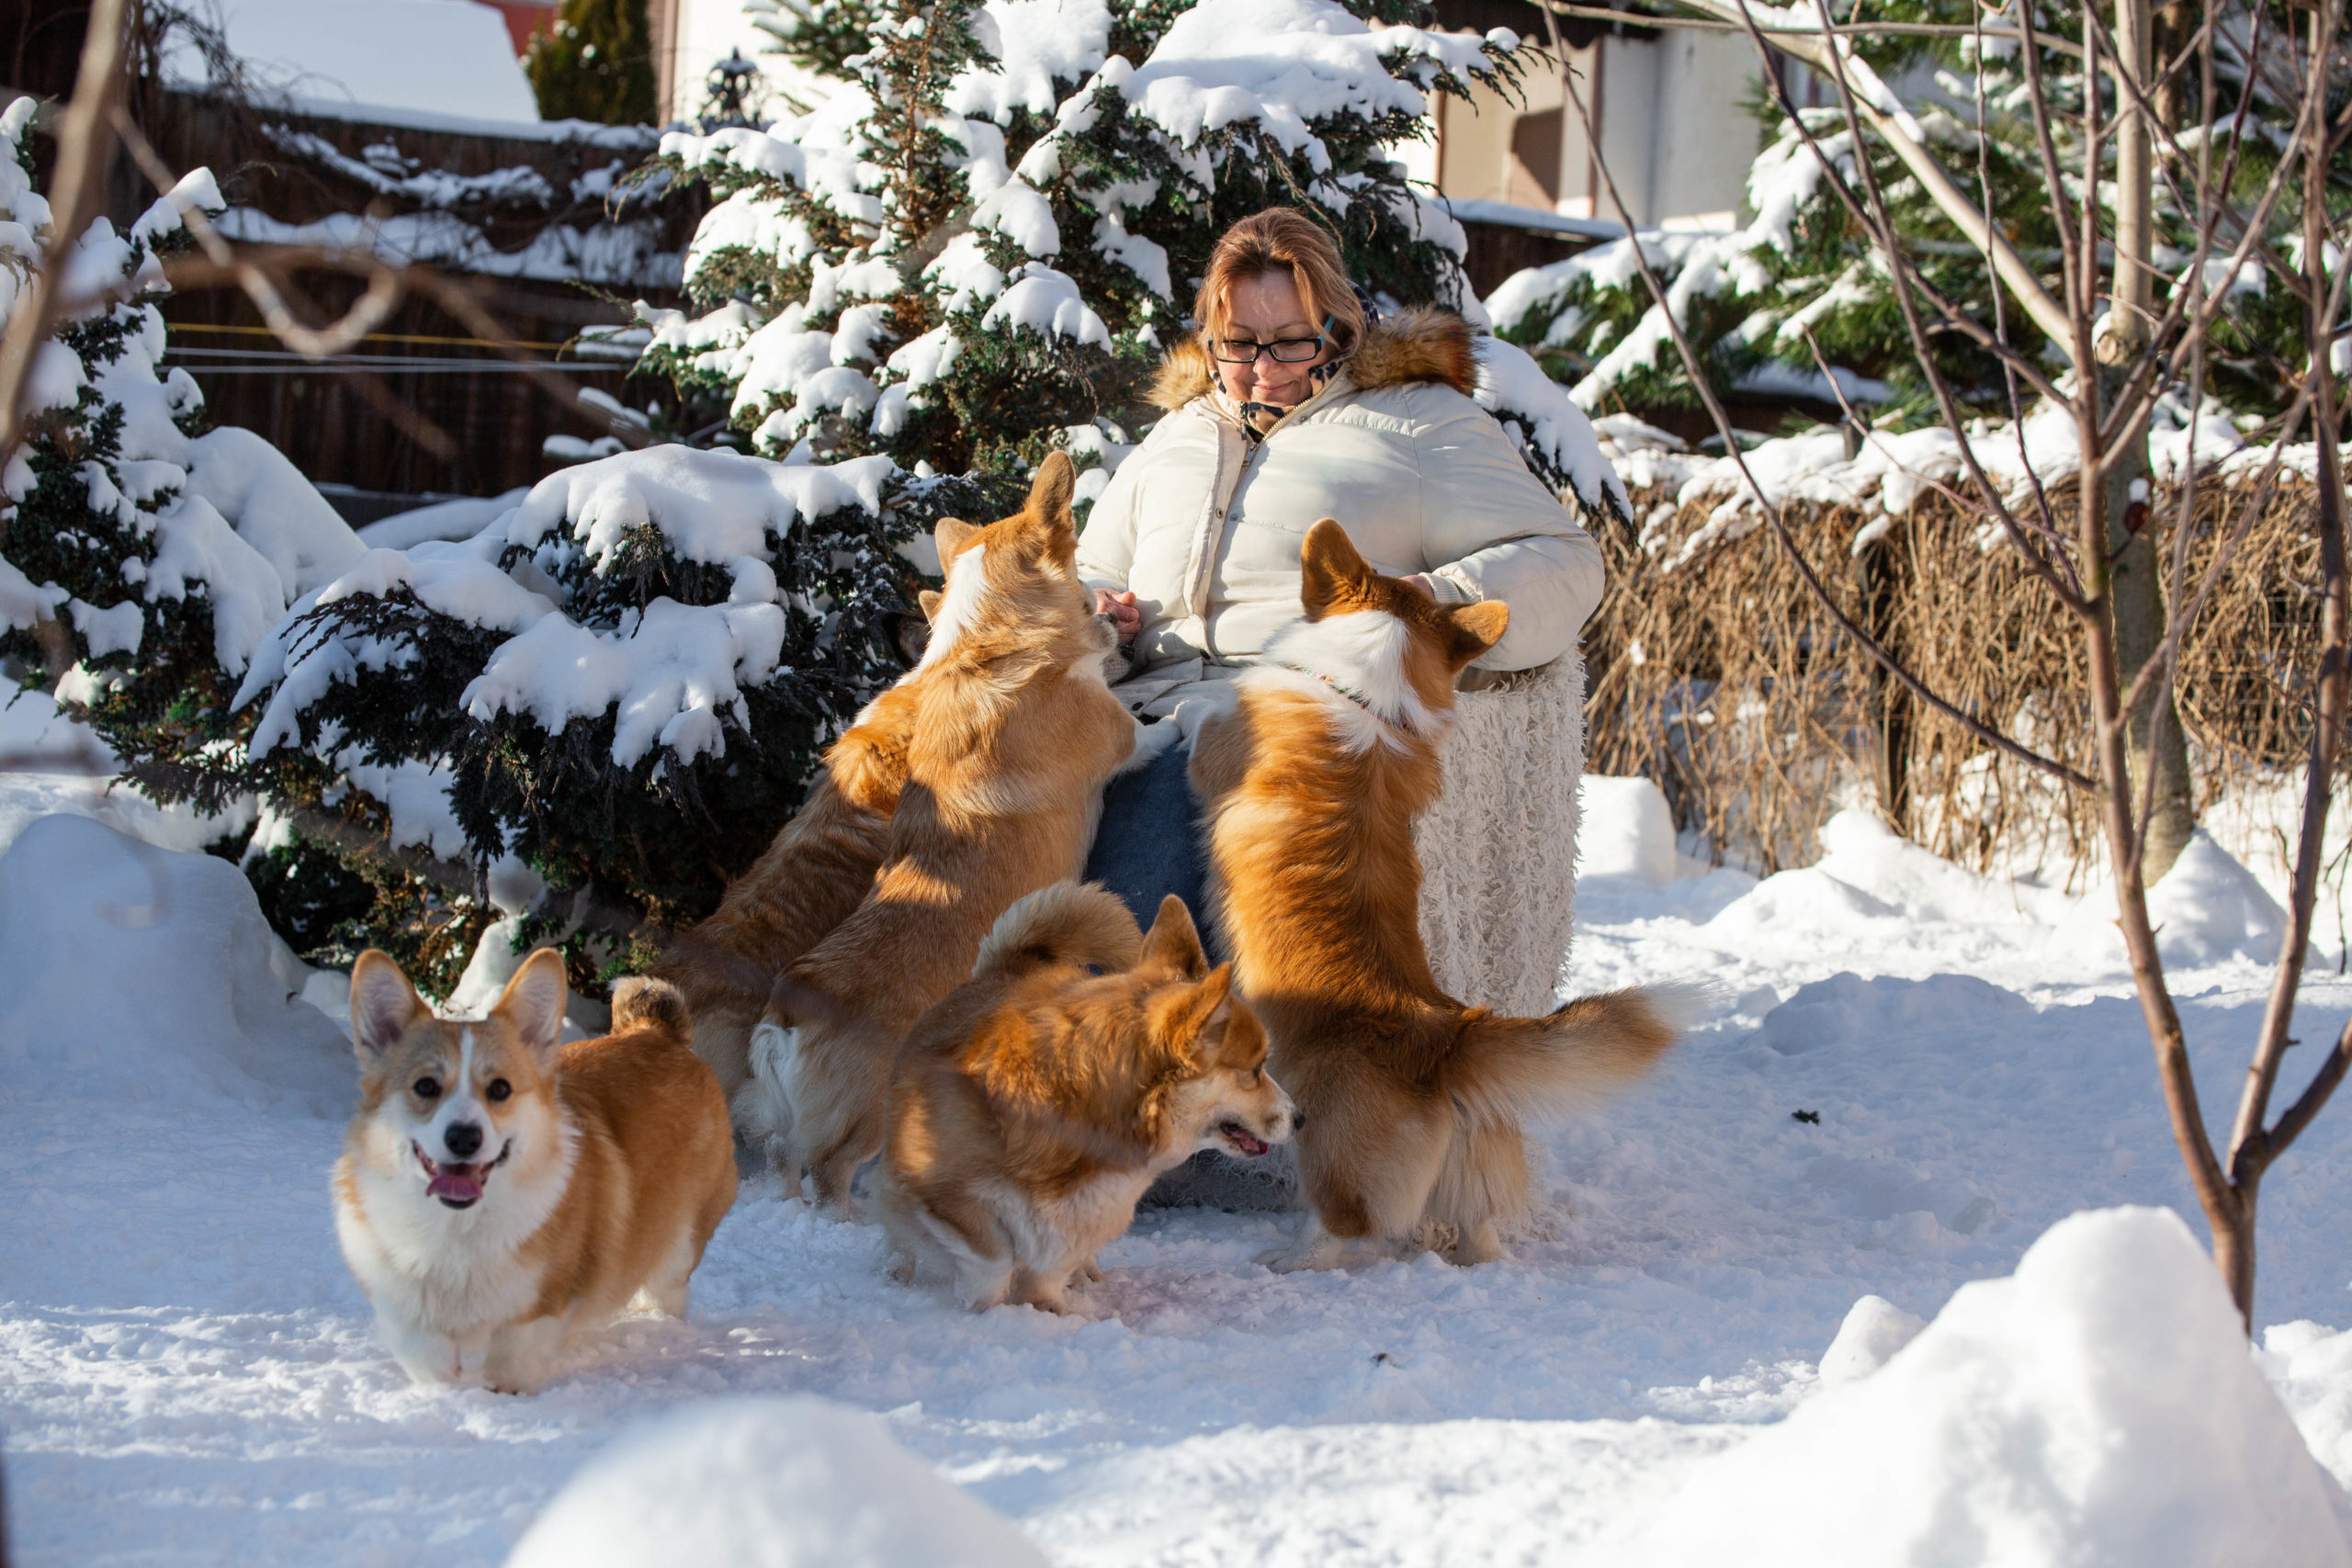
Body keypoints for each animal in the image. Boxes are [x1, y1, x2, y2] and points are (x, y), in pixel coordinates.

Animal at [334, 949, 733, 1392]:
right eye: (425, 1086)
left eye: (500, 1089)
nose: (464, 1138)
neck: (458, 1229)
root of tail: (656, 1031)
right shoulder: (398, 1297)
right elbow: (422, 1351)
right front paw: (446, 1386)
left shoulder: (543, 1301)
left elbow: (513, 1352)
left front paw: (503, 1392)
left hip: (678, 1247)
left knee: (664, 1288)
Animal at [738, 453, 1170, 1213]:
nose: (1122, 620)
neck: (988, 639)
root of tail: (787, 1010)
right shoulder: (1122, 740)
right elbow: (1153, 731)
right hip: (868, 1113)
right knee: (831, 1169)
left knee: (790, 1160)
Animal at [879, 884, 1298, 1316]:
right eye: (1256, 1069)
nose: (1299, 1118)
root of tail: (1012, 964)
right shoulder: (944, 1197)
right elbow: (993, 1258)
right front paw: (988, 1310)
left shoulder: (1083, 1217)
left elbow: (1046, 1271)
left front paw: (1046, 1311)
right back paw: (895, 1270)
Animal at [1194, 522, 1674, 1279]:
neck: (1366, 690)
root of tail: (1446, 1035)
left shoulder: (1211, 752)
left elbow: (1198, 725)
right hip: (1472, 1164)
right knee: (1479, 1232)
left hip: (1324, 1147)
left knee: (1352, 1231)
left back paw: (1289, 1259)